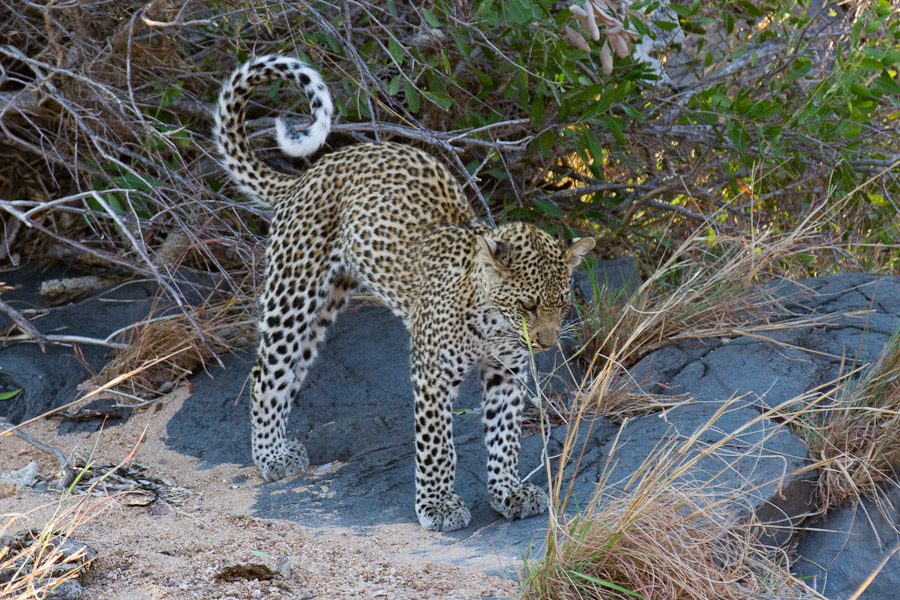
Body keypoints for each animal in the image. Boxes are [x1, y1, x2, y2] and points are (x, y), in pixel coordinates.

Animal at [214, 56, 596, 532]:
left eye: (562, 305)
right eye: (527, 305)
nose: (546, 344)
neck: (491, 327)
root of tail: (308, 174)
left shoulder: (507, 372)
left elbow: (505, 435)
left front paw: (508, 492)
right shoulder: (431, 374)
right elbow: (437, 446)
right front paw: (438, 505)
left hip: (326, 304)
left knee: (290, 370)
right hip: (294, 295)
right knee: (266, 373)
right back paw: (271, 455)